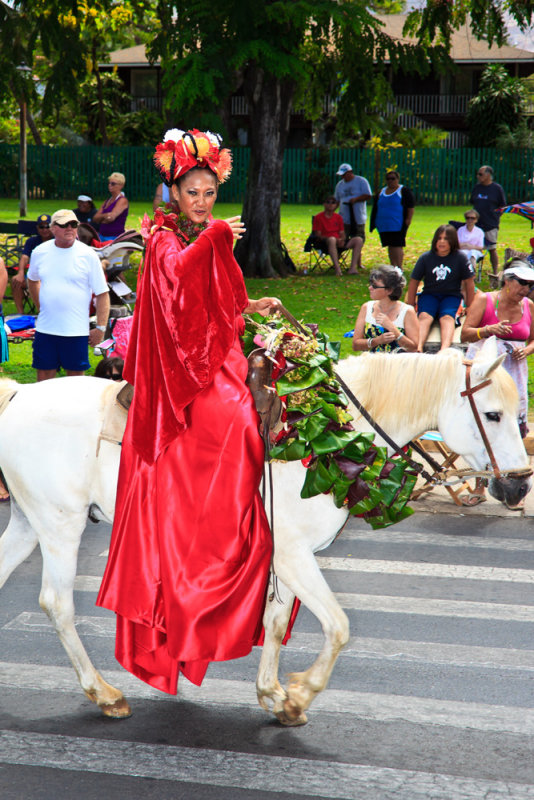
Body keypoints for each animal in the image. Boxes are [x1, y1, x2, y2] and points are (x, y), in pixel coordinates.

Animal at [0, 338, 532, 724]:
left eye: (519, 414)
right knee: (57, 604)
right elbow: (338, 627)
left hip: (27, 521)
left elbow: (276, 624)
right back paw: (104, 694)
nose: (519, 484)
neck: (332, 435)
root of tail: (20, 394)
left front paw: (274, 695)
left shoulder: (286, 557)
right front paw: (299, 694)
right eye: (492, 414)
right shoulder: (295, 554)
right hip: (60, 523)